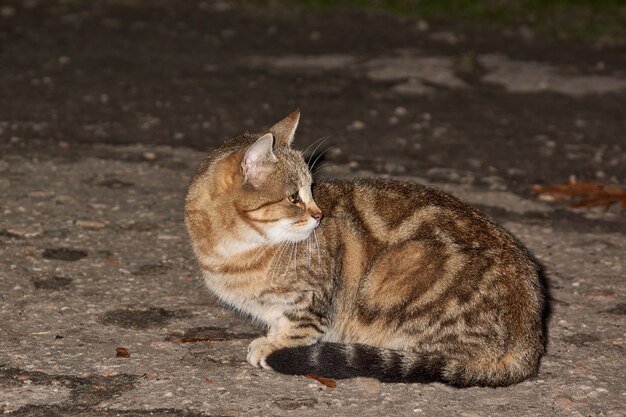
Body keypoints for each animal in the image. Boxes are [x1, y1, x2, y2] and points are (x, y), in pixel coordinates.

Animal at [183, 111, 544, 386]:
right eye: (294, 198)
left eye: (311, 190)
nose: (319, 214)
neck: (233, 251)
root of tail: (531, 337)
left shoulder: (313, 302)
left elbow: (297, 328)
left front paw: (274, 346)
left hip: (400, 268)